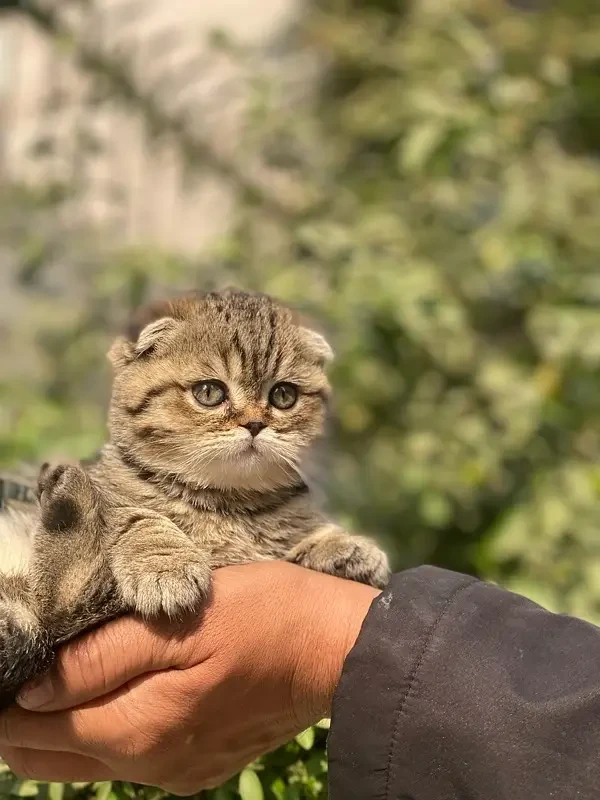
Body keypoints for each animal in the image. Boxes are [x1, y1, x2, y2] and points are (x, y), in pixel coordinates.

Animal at [0, 288, 390, 708]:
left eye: (284, 395)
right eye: (209, 393)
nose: (255, 423)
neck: (229, 506)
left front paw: (346, 546)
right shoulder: (116, 494)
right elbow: (136, 514)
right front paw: (164, 564)